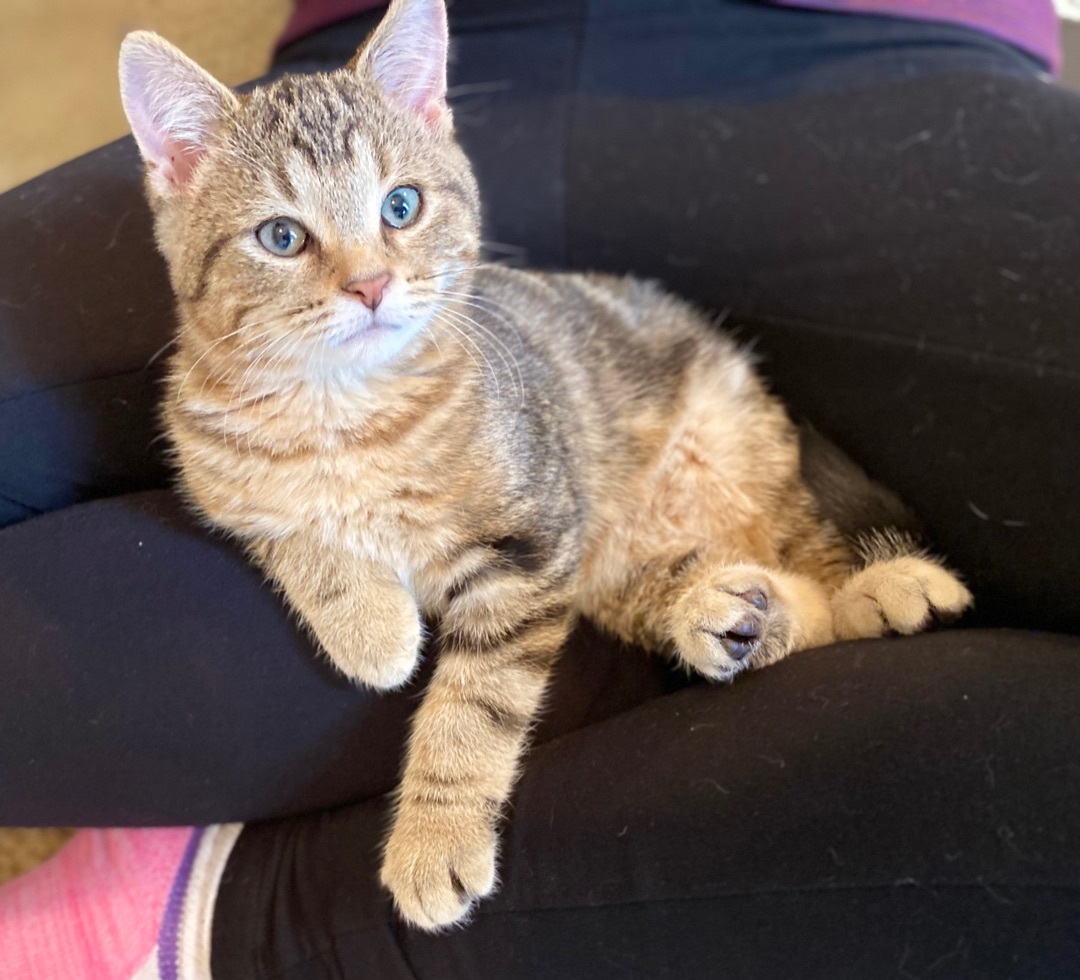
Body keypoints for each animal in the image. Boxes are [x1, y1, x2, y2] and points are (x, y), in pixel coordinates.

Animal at [122, 0, 976, 929]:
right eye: (281, 236)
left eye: (401, 205)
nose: (372, 285)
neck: (349, 411)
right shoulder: (218, 479)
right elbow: (292, 529)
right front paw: (370, 624)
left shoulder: (530, 548)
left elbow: (475, 705)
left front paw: (435, 835)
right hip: (609, 555)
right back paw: (729, 615)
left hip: (721, 461)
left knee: (808, 551)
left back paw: (879, 587)